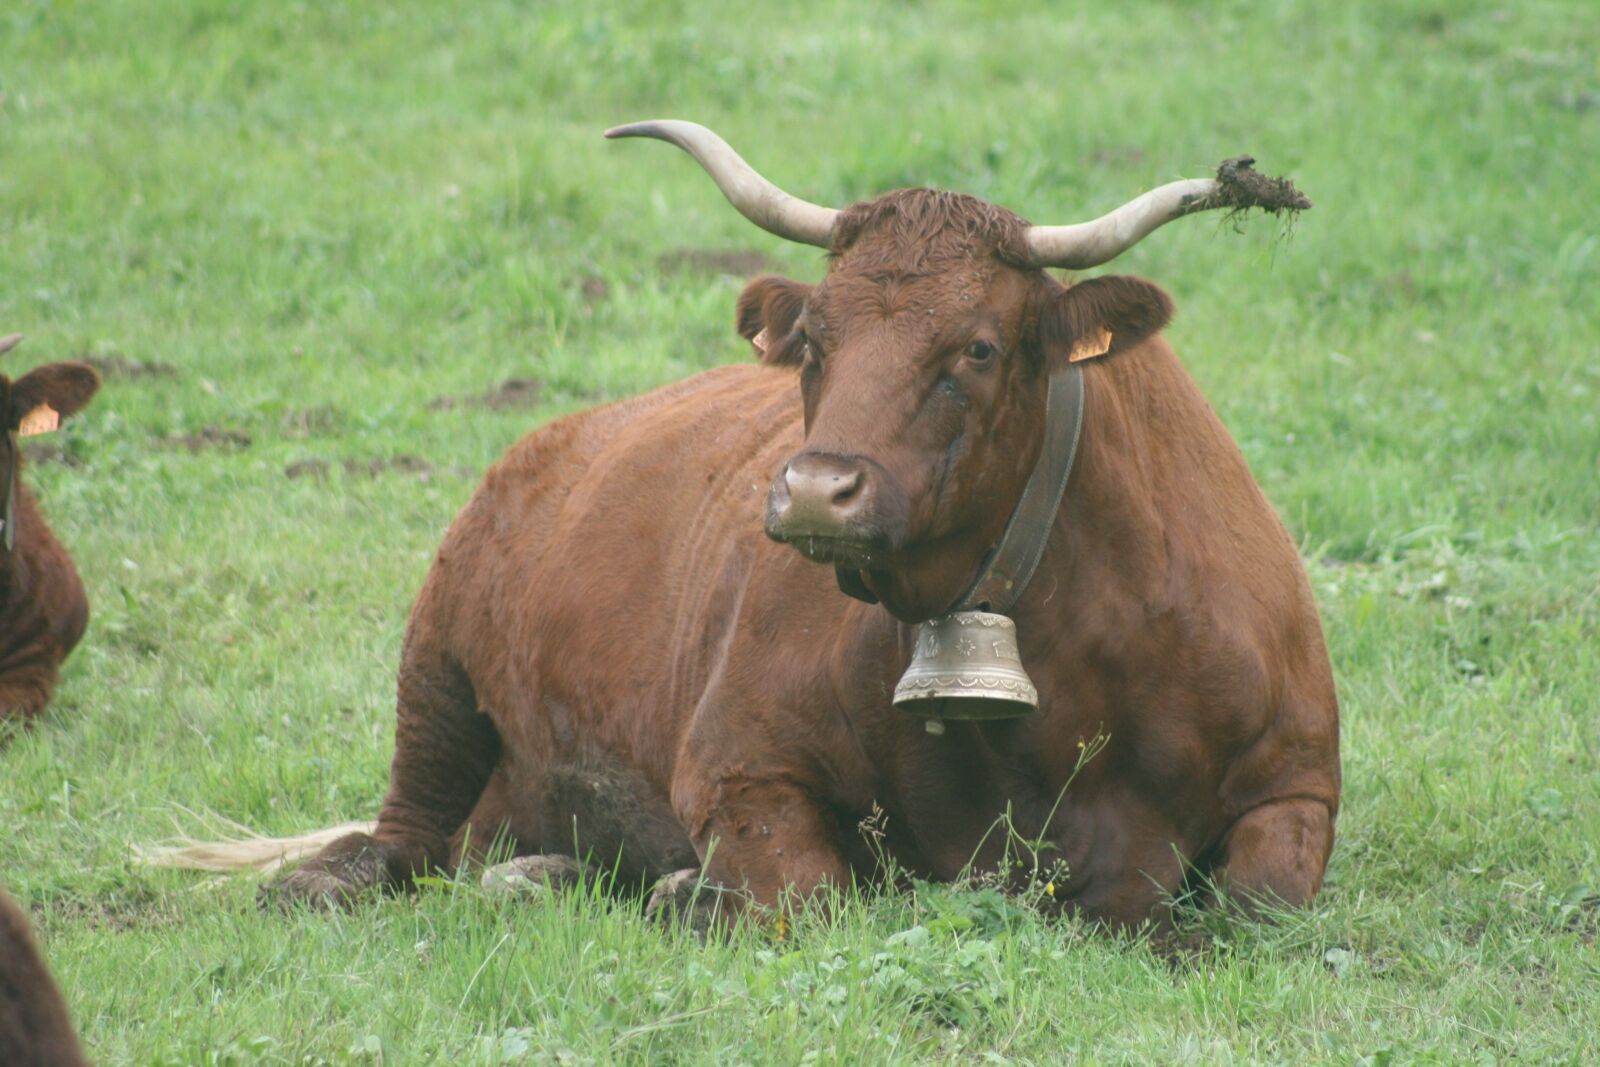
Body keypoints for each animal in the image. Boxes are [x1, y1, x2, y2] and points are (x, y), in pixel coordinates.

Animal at [181, 122, 1339, 930]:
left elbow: (1250, 905)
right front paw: (688, 893)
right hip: (434, 677)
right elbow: (813, 894)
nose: (817, 491)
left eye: (977, 346)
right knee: (394, 840)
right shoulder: (737, 762)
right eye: (815, 337)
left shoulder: (1299, 787)